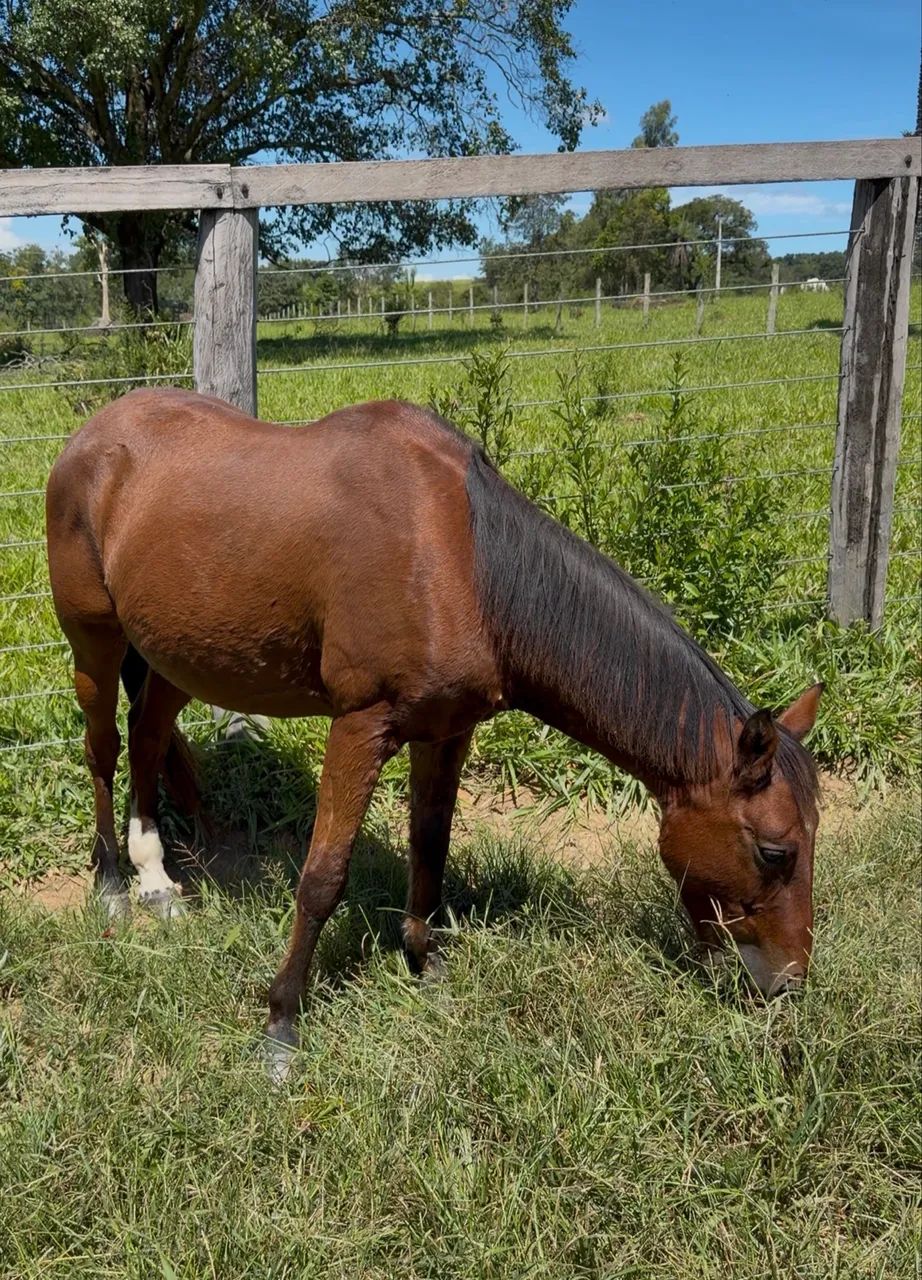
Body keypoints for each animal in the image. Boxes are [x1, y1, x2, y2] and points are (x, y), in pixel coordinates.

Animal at [46, 388, 822, 1073]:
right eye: (776, 851)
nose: (790, 982)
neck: (461, 562)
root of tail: (94, 435)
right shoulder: (360, 728)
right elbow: (322, 879)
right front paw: (281, 1026)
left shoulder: (445, 730)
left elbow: (431, 845)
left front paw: (426, 964)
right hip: (96, 642)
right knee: (104, 748)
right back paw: (112, 881)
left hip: (178, 656)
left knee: (149, 737)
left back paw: (155, 879)